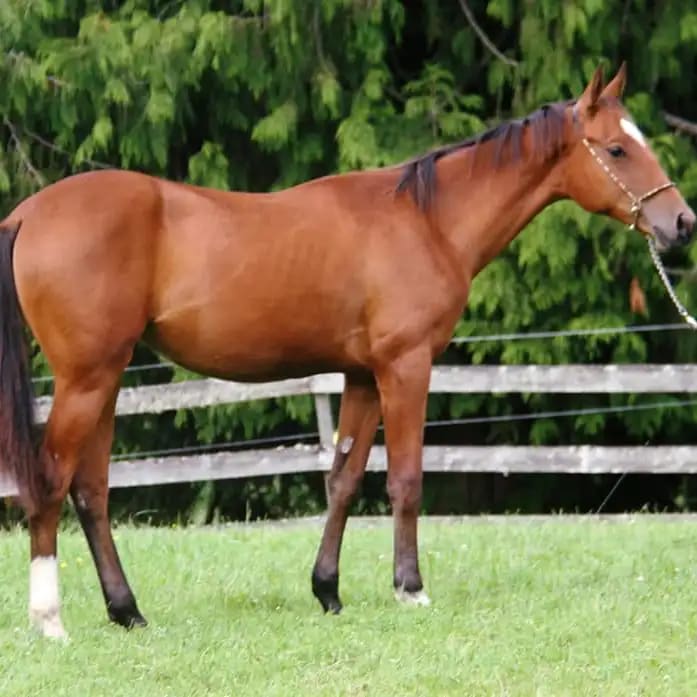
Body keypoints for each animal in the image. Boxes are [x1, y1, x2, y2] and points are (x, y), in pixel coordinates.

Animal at [0, 63, 693, 639]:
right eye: (617, 148)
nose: (682, 224)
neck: (426, 222)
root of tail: (29, 213)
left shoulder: (361, 375)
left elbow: (344, 479)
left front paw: (327, 590)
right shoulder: (406, 367)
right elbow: (407, 479)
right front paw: (410, 589)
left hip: (108, 378)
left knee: (91, 491)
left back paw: (127, 612)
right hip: (86, 379)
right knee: (52, 483)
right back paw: (50, 620)